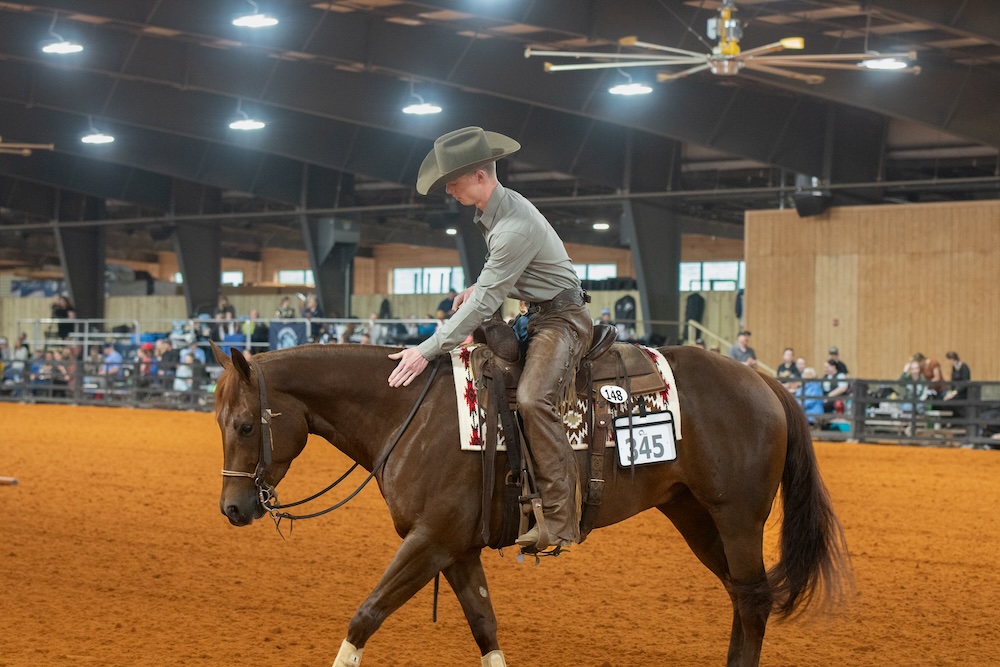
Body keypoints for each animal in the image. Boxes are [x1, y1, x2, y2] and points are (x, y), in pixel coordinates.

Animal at [211, 341, 849, 667]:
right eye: (219, 422)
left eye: (243, 425)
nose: (233, 509)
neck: (408, 413)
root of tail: (764, 383)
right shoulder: (456, 550)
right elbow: (485, 627)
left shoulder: (430, 541)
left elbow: (365, 614)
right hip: (696, 517)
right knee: (745, 598)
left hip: (737, 518)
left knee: (756, 601)